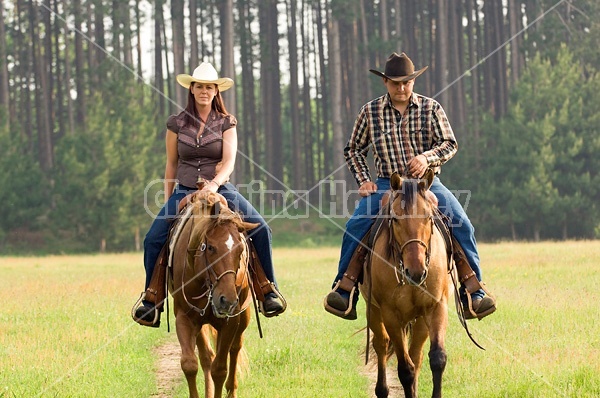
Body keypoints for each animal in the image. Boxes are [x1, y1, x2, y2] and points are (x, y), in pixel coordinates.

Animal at [166, 191, 258, 396]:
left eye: (240, 250)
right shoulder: (184, 317)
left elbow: (220, 369)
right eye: (210, 247)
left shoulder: (231, 321)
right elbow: (190, 364)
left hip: (243, 317)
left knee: (235, 349)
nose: (227, 300)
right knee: (207, 356)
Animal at [360, 169, 454, 398]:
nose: (417, 272)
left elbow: (437, 358)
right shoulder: (391, 314)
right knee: (382, 344)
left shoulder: (436, 306)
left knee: (416, 354)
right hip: (374, 311)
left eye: (428, 217)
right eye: (395, 219)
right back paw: (382, 389)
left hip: (419, 320)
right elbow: (405, 369)